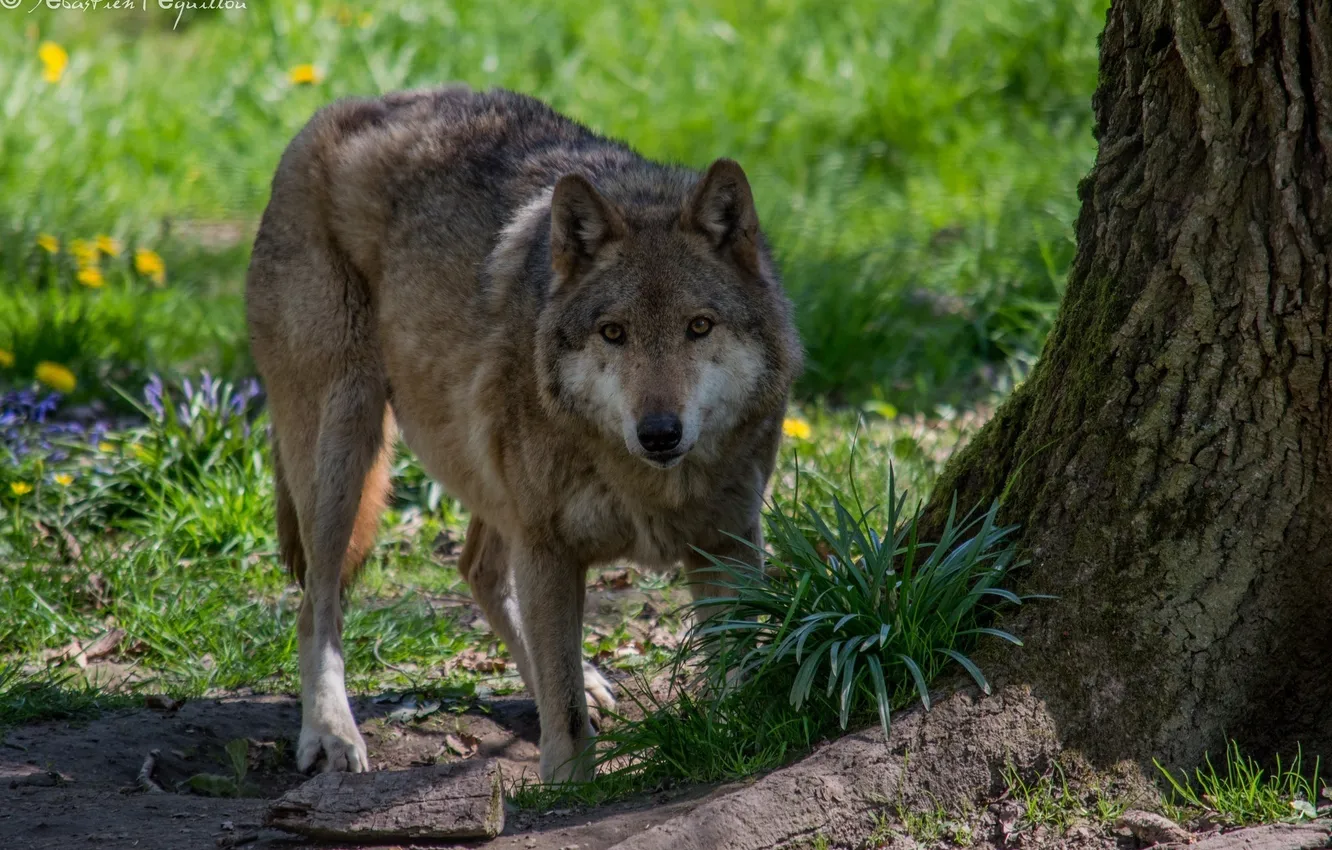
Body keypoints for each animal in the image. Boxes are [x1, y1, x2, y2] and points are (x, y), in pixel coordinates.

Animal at [245, 87, 799, 788]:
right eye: (614, 332)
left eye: (699, 326)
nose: (658, 433)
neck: (651, 488)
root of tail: (338, 108)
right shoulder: (550, 547)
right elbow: (562, 703)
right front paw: (568, 785)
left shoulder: (728, 541)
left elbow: (735, 664)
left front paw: (740, 739)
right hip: (345, 447)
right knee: (317, 605)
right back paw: (330, 734)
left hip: (483, 473)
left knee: (476, 570)